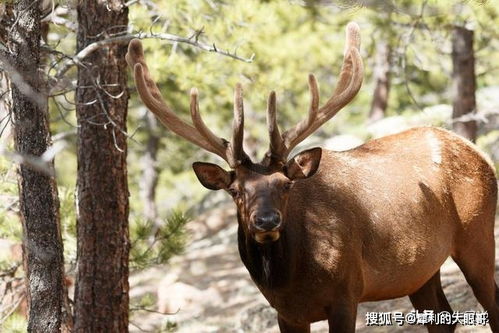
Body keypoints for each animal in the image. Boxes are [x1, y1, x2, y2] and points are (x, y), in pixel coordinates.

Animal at [127, 22, 498, 330]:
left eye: (285, 185)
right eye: (236, 191)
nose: (266, 220)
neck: (291, 281)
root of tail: (477, 150)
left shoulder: (346, 294)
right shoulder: (287, 313)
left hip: (477, 232)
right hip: (420, 269)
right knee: (444, 317)